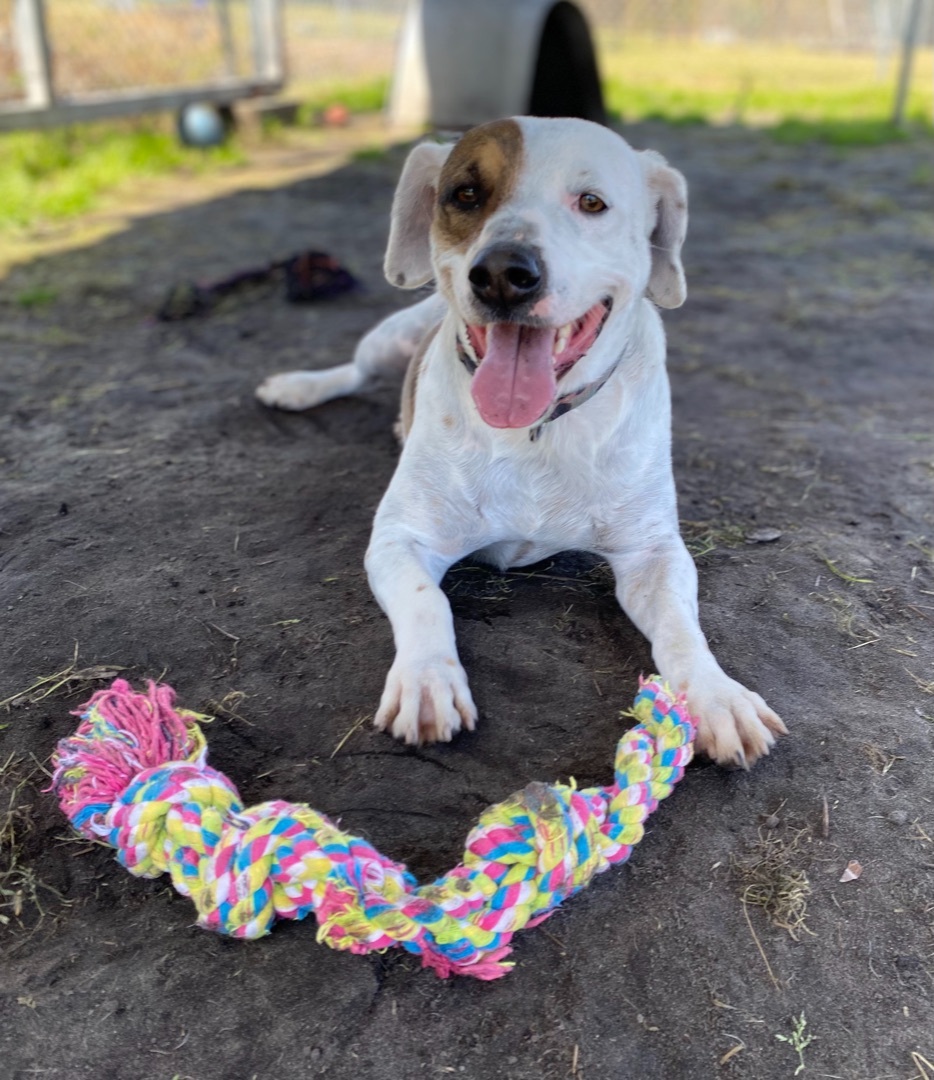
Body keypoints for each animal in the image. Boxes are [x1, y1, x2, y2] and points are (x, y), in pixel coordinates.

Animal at [256, 116, 786, 768]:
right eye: (464, 194)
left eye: (592, 202)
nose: (503, 273)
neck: (536, 429)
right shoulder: (400, 540)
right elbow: (427, 600)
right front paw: (428, 678)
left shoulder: (653, 554)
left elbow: (683, 631)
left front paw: (716, 696)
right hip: (390, 338)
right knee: (352, 371)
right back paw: (299, 387)